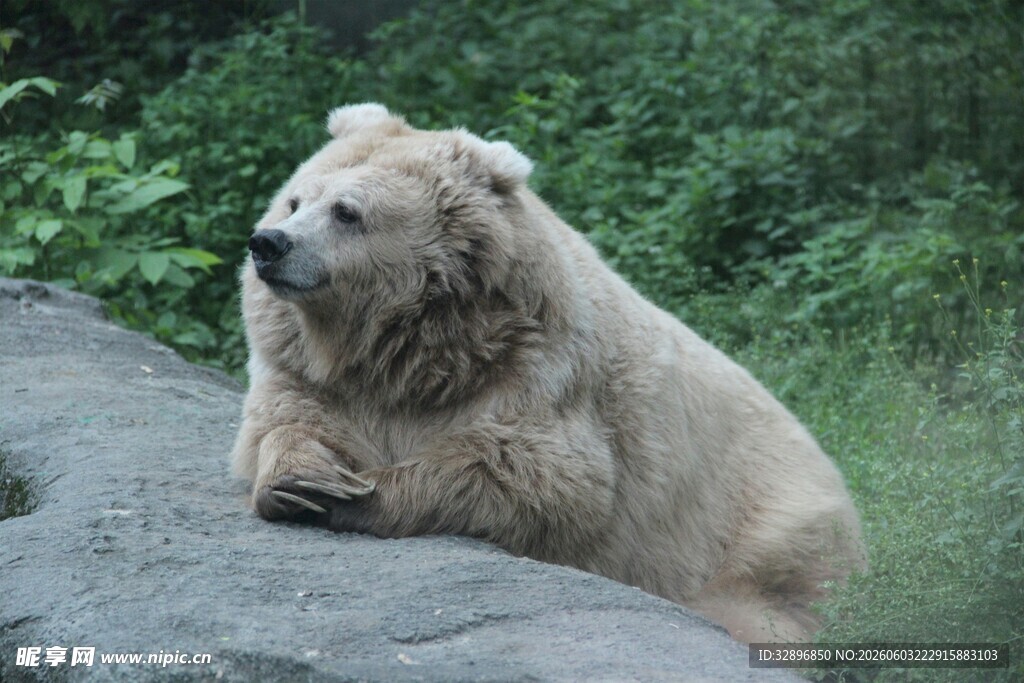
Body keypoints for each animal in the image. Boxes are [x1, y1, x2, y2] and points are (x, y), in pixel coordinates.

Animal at [231, 103, 865, 643]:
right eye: (295, 200)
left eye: (347, 210)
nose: (269, 244)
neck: (414, 348)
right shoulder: (310, 369)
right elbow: (283, 423)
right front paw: (305, 480)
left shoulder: (540, 371)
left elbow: (538, 475)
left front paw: (358, 494)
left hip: (764, 532)